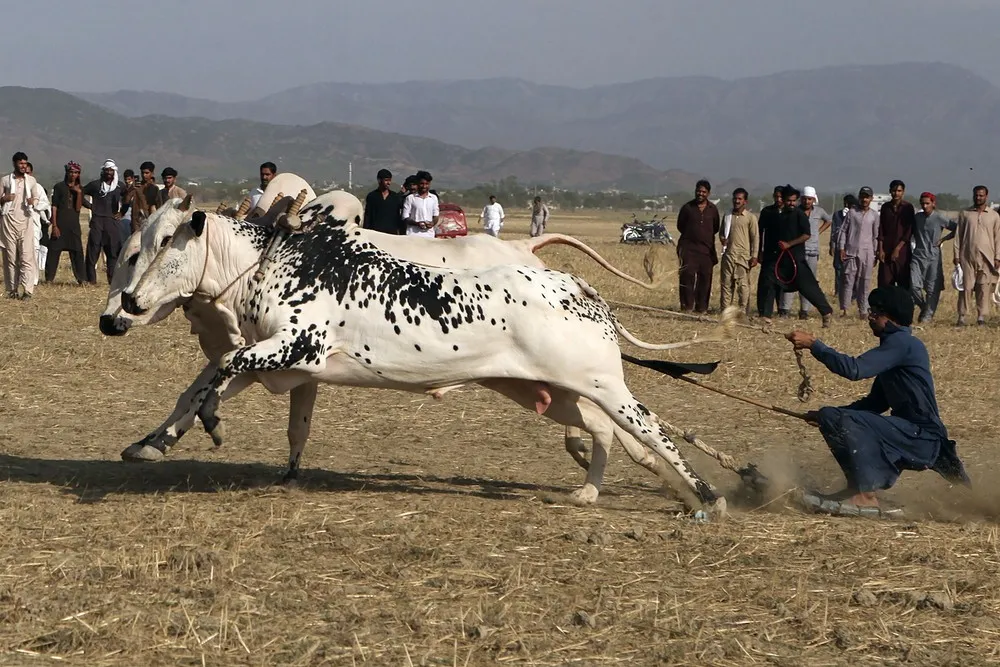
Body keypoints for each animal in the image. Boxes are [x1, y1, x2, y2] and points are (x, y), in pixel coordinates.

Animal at [119, 210, 728, 516]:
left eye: (164, 243)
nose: (125, 304)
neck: (273, 263)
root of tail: (575, 286)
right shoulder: (281, 365)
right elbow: (207, 384)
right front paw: (158, 440)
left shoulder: (300, 346)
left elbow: (222, 370)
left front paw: (208, 425)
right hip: (546, 391)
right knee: (601, 430)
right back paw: (589, 491)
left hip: (604, 385)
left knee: (651, 432)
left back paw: (707, 497)